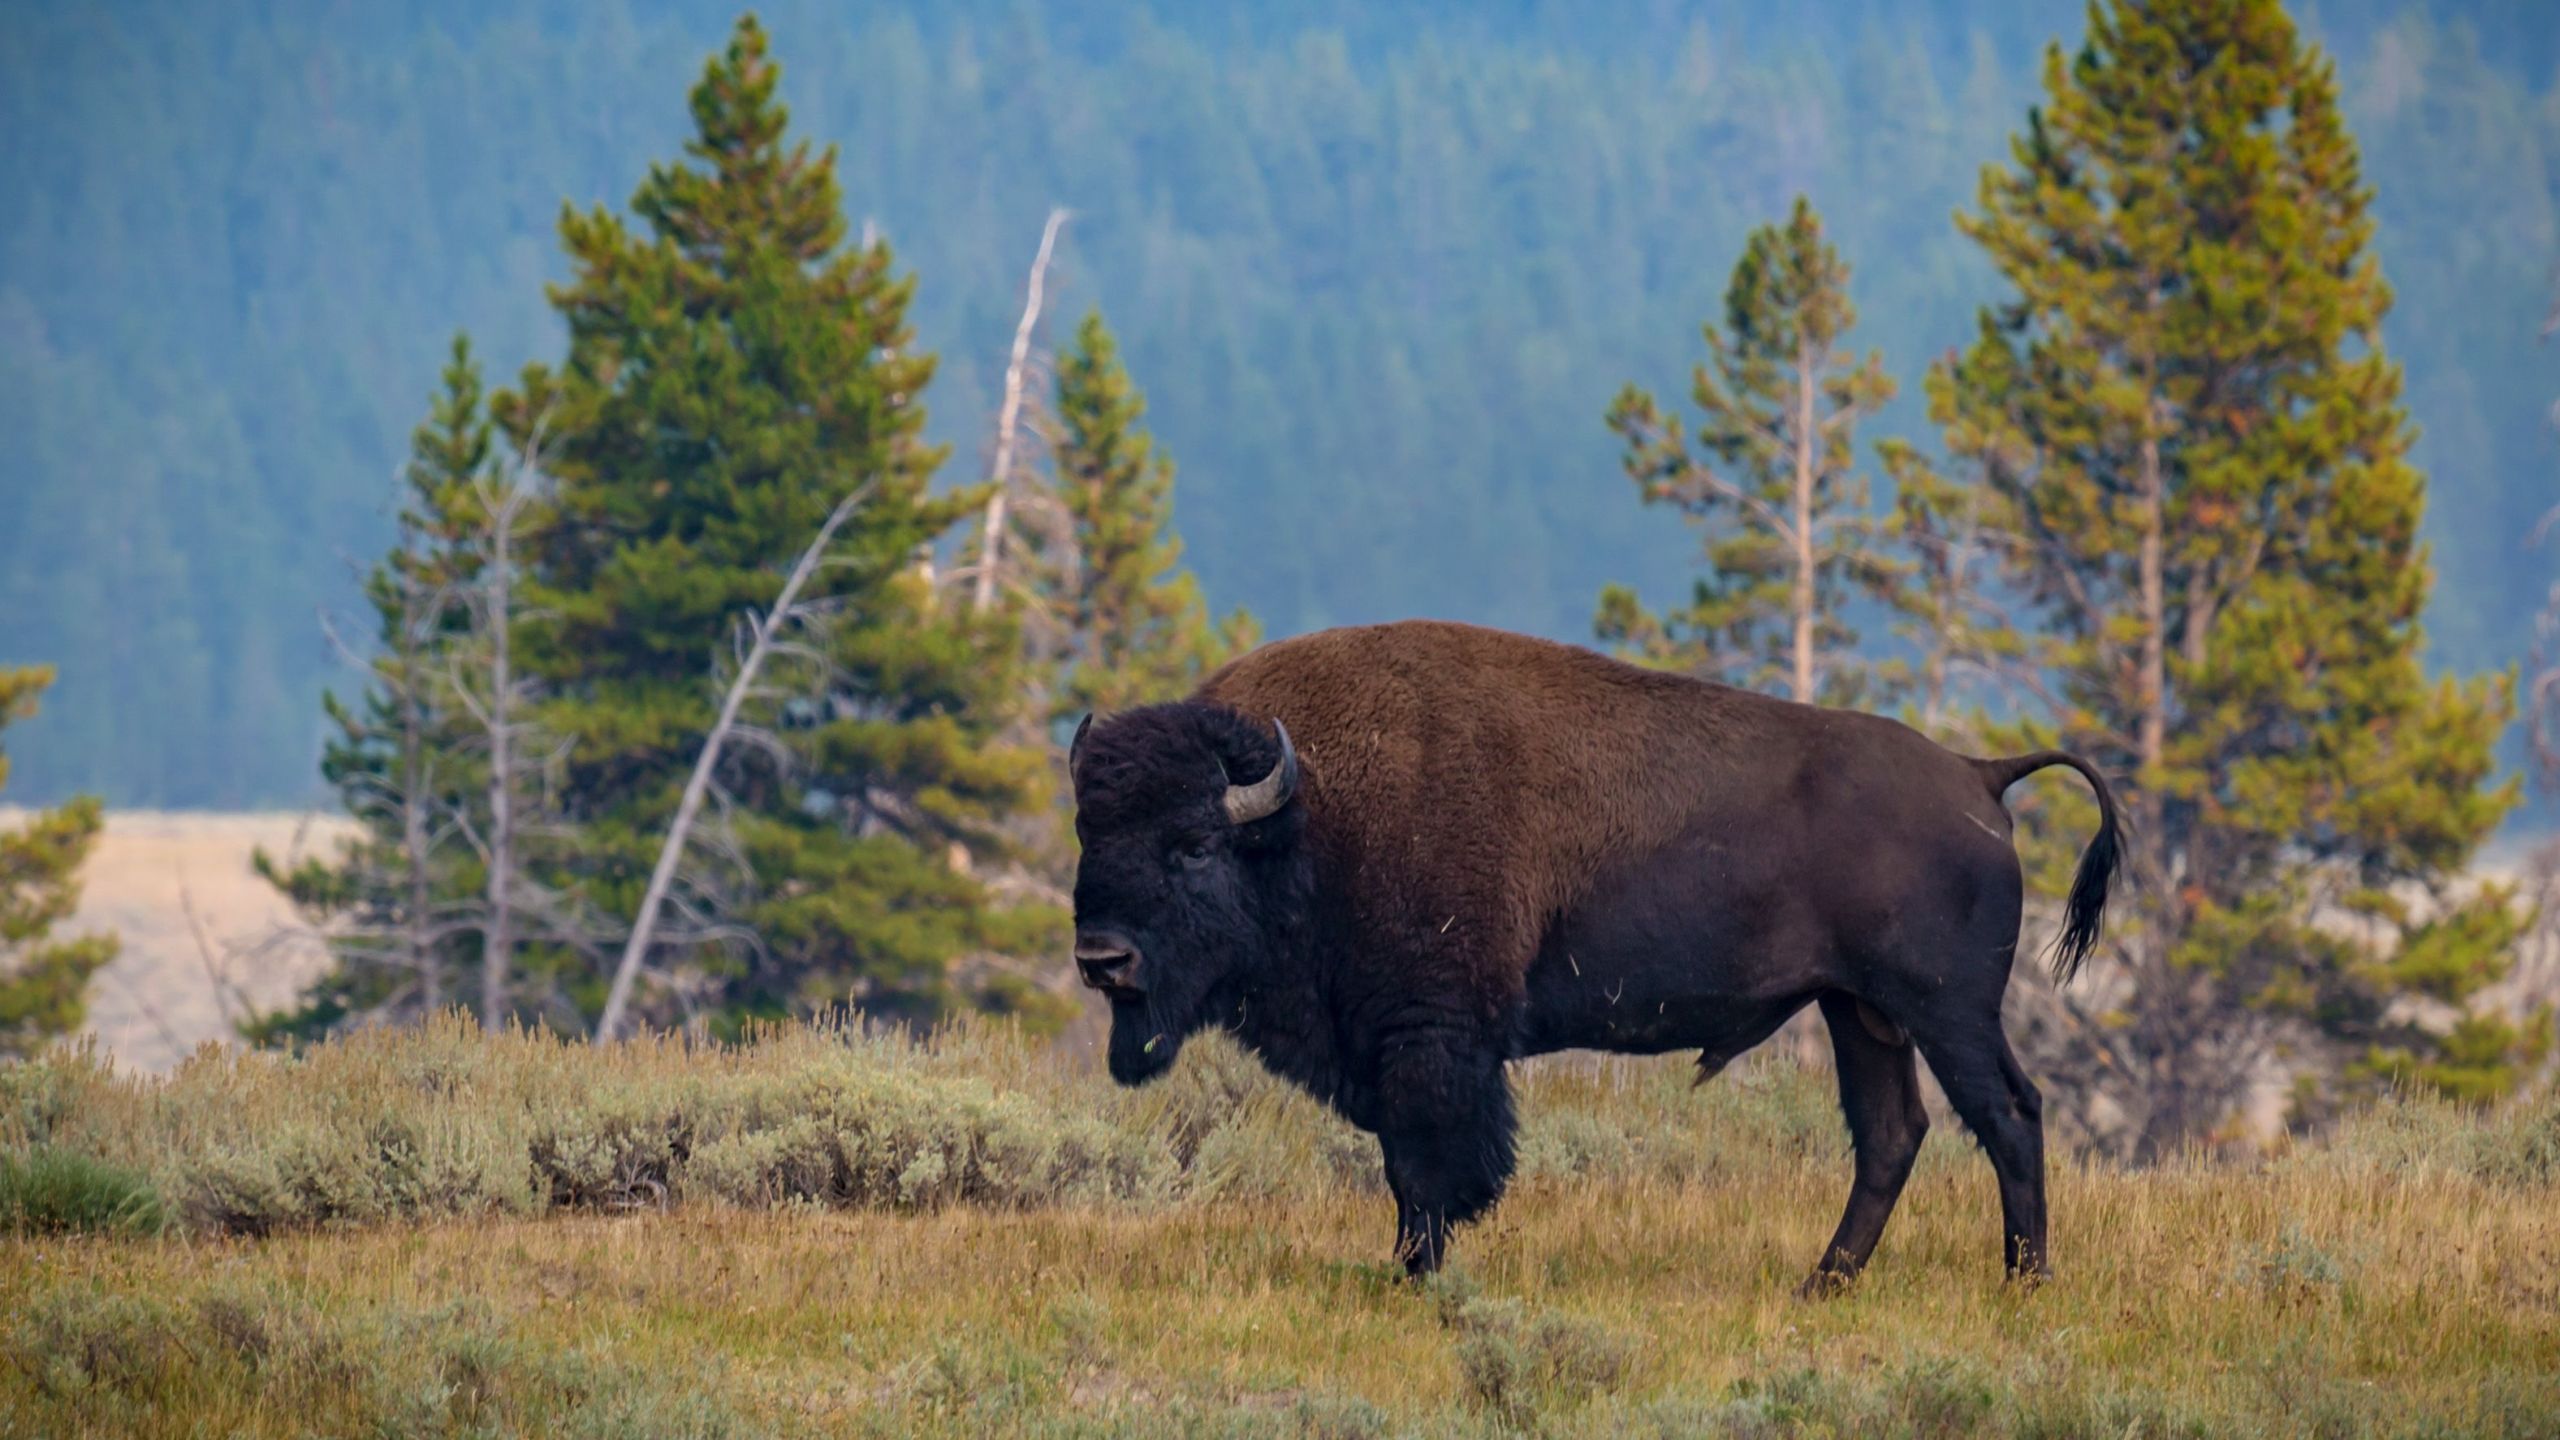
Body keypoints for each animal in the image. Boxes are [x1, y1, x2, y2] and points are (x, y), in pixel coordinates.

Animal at [1059, 617, 2119, 1291]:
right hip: (1860, 1012)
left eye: (1193, 846)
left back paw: (2024, 1284)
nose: (1101, 959)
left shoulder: (1430, 1039)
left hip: (1945, 1010)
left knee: (2009, 1114)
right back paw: (1821, 1285)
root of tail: (1978, 774)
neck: (1308, 817)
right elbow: (1411, 1165)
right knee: (1893, 1134)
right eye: (1088, 835)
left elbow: (1425, 1169)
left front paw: (1411, 1278)